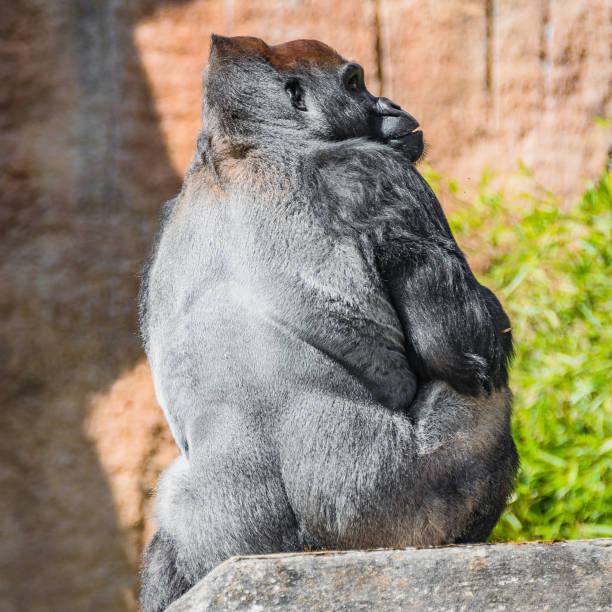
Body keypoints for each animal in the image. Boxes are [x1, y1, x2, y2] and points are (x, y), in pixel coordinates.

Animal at [137, 35, 516, 608]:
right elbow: (462, 348)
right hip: (378, 518)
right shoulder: (380, 172)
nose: (392, 105)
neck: (238, 148)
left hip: (213, 533)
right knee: (481, 406)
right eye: (356, 83)